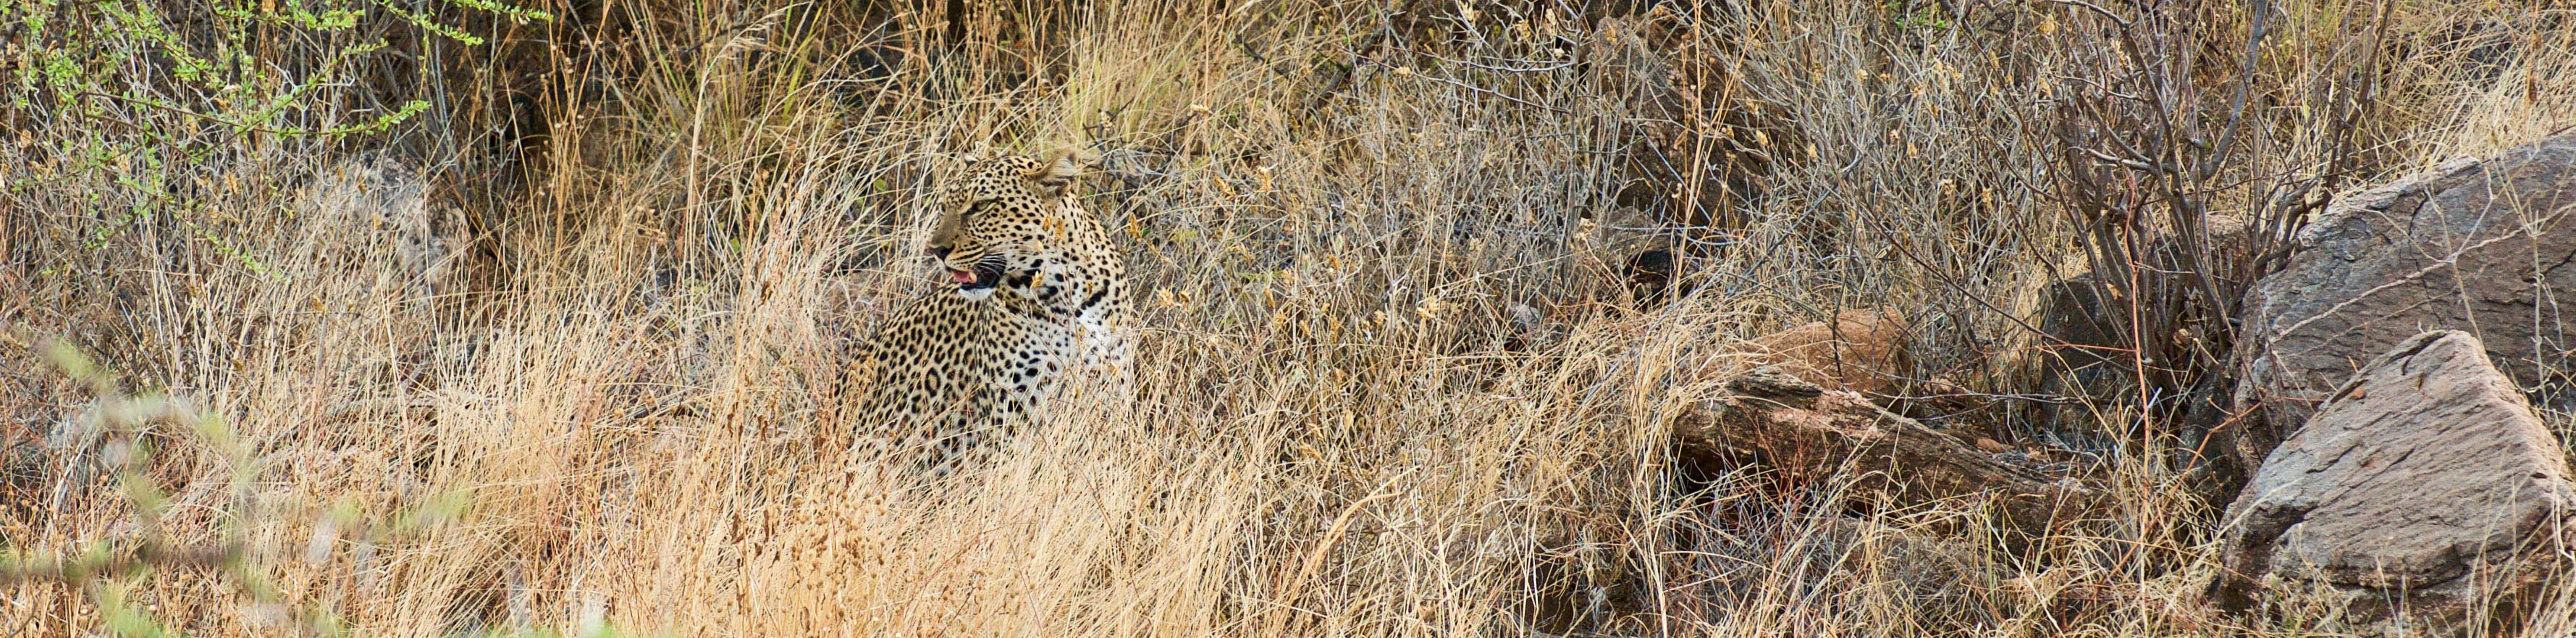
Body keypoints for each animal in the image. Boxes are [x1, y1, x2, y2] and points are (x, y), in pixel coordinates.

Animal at [850, 149, 1133, 476]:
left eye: (981, 206)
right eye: (945, 207)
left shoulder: (1108, 393)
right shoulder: (1009, 412)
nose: (935, 250)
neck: (1066, 296)